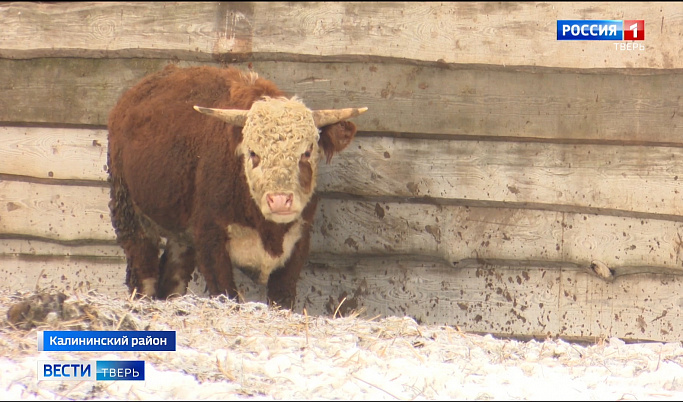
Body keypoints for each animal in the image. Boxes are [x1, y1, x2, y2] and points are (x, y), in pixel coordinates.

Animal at [107, 64, 366, 306]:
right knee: (143, 266)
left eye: (307, 152)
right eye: (252, 153)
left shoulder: (298, 242)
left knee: (173, 273)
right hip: (127, 207)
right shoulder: (211, 240)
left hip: (180, 231)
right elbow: (225, 293)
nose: (280, 201)